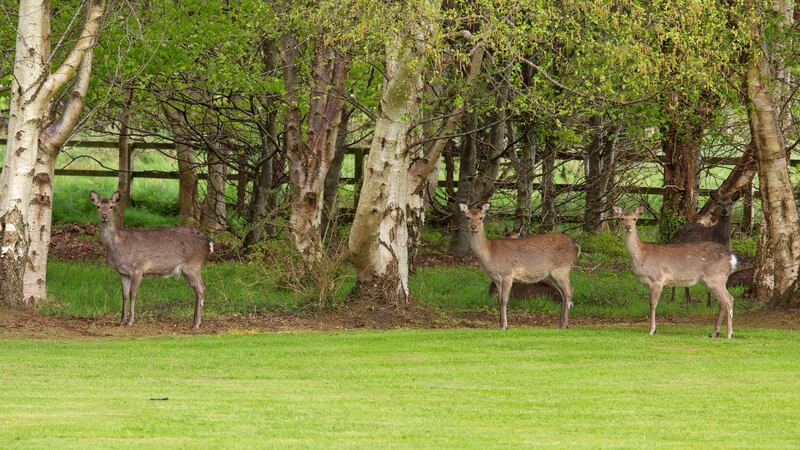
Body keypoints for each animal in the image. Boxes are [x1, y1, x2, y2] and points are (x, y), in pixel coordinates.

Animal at [90, 191, 213, 329]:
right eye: (98, 206)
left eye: (111, 206)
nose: (104, 216)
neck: (118, 247)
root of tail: (209, 242)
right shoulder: (122, 272)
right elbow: (124, 295)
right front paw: (122, 320)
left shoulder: (137, 269)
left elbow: (133, 294)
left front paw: (131, 321)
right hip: (189, 269)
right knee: (198, 289)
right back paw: (195, 321)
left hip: (193, 265)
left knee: (201, 288)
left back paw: (196, 324)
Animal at [613, 206, 737, 338]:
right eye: (621, 218)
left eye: (634, 219)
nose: (628, 226)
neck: (642, 255)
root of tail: (731, 258)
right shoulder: (649, 283)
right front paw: (653, 329)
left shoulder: (657, 279)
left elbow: (653, 304)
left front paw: (652, 330)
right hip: (711, 281)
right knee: (722, 302)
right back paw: (714, 333)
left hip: (716, 278)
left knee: (729, 300)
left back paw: (729, 334)